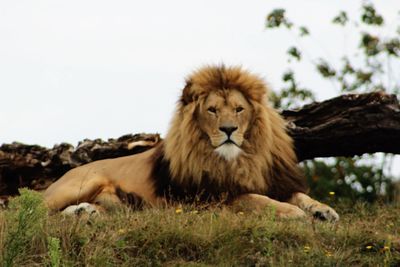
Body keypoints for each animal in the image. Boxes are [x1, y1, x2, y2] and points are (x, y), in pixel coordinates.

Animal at [43, 65, 338, 222]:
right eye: (212, 110)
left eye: (239, 109)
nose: (229, 130)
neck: (240, 161)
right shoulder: (210, 200)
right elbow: (253, 199)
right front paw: (294, 213)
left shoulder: (273, 181)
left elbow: (298, 195)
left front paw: (324, 210)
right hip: (81, 184)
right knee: (37, 210)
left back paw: (86, 212)